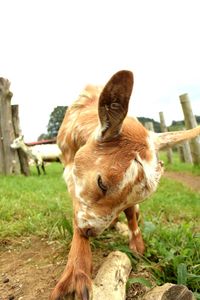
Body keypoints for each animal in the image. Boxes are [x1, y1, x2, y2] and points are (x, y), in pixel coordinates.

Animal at [51, 71, 200, 300]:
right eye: (101, 183)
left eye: (133, 198)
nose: (90, 231)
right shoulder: (69, 169)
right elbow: (77, 208)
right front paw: (77, 273)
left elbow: (130, 213)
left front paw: (137, 246)